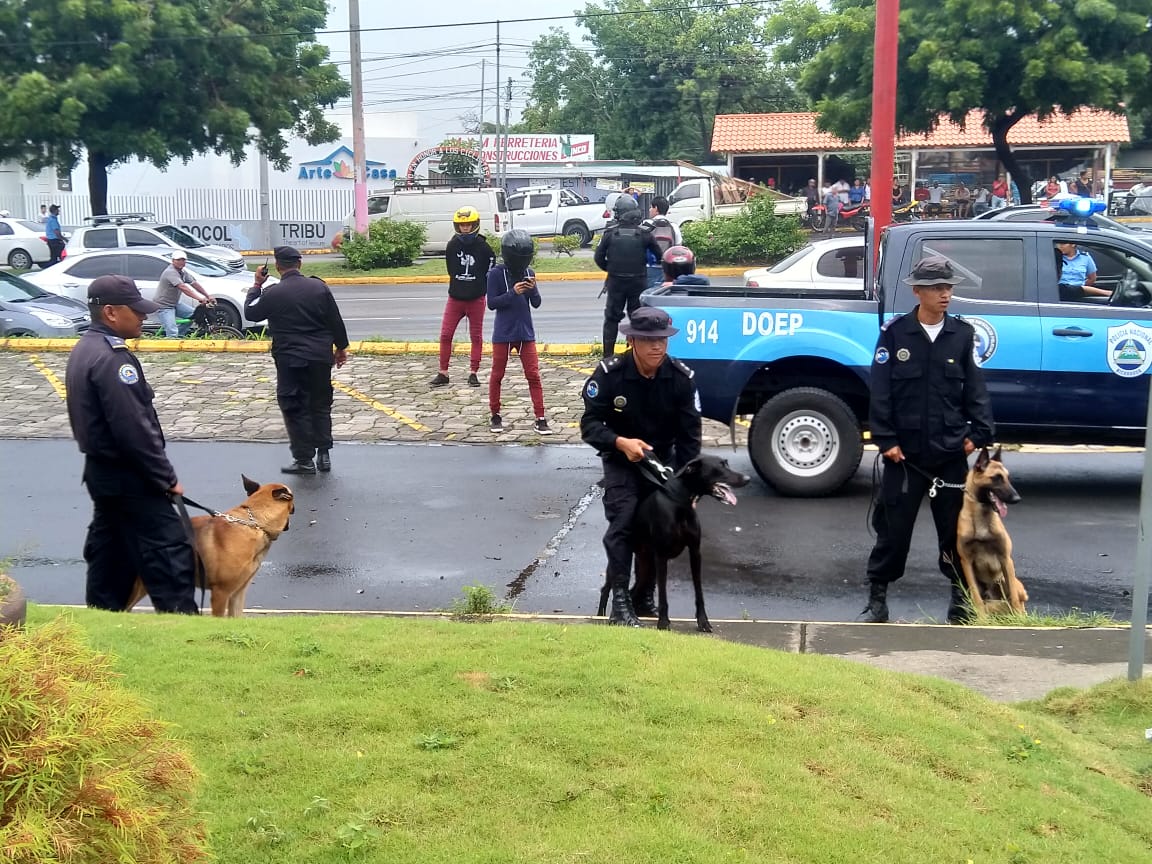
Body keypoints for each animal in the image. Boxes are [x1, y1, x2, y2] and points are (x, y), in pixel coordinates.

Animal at [953, 449, 1027, 617]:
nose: (1017, 499)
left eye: (1008, 478)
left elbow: (1013, 597)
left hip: (1008, 580)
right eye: (996, 478)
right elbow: (977, 598)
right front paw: (981, 619)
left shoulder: (1006, 559)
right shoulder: (966, 562)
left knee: (1017, 599)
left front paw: (1019, 620)